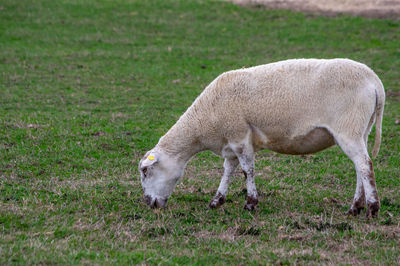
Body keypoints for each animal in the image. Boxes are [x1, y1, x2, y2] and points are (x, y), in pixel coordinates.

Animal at [138, 58, 384, 218]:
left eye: (145, 171)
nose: (149, 203)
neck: (203, 121)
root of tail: (375, 83)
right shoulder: (230, 143)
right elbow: (228, 171)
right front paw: (217, 201)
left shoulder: (240, 136)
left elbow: (248, 170)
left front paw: (250, 203)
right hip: (362, 129)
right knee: (360, 168)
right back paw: (355, 208)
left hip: (348, 128)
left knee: (365, 166)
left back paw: (371, 209)